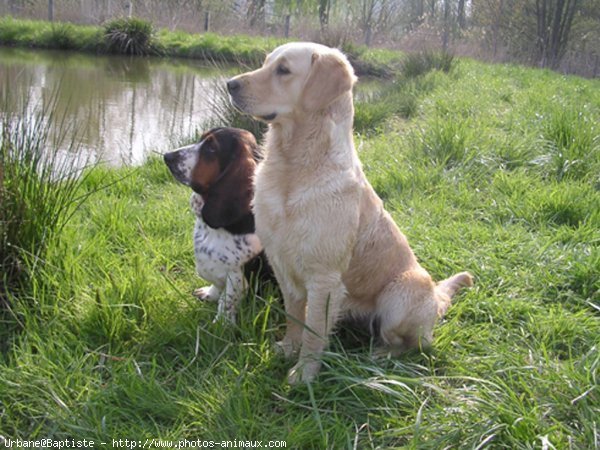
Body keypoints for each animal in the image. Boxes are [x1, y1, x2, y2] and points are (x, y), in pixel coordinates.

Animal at [164, 128, 272, 322]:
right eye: (200, 139)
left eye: (212, 148)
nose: (167, 156)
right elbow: (217, 286)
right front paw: (209, 293)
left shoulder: (236, 275)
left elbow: (226, 301)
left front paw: (219, 324)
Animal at [226, 42, 474, 384]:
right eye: (265, 63)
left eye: (283, 70)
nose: (229, 84)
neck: (294, 167)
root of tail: (436, 297)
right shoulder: (282, 266)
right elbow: (294, 317)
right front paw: (288, 348)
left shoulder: (324, 279)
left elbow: (313, 331)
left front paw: (304, 374)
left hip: (399, 297)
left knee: (416, 344)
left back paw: (381, 355)